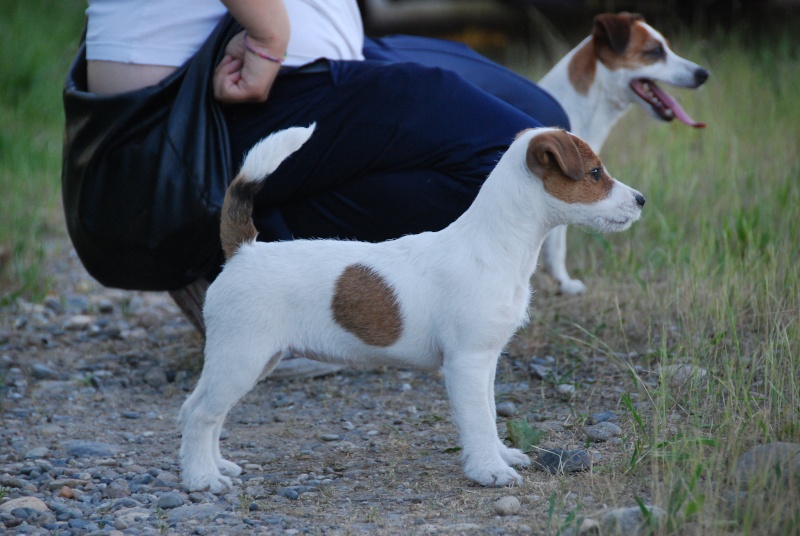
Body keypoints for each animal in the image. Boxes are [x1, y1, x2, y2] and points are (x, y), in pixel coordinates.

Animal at [180, 123, 644, 492]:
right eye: (595, 173)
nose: (641, 199)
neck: (494, 245)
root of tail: (243, 251)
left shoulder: (486, 360)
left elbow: (490, 412)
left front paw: (501, 454)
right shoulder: (466, 362)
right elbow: (478, 420)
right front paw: (489, 471)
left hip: (254, 359)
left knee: (205, 410)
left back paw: (215, 466)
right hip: (242, 356)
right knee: (200, 414)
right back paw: (202, 479)